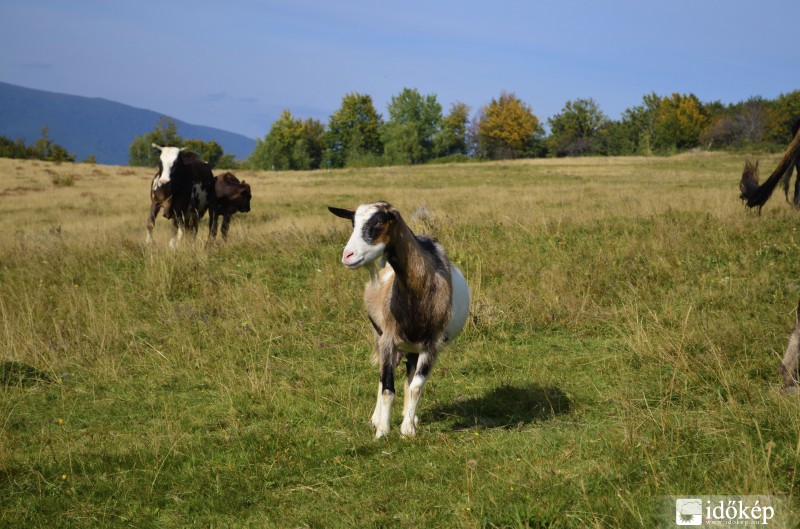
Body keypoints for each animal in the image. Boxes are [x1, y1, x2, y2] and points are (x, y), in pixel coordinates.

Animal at [330, 200, 472, 436]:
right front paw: (382, 431)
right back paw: (376, 419)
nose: (347, 256)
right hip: (381, 338)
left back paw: (410, 418)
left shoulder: (431, 345)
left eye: (378, 222)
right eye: (353, 223)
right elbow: (388, 387)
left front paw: (407, 429)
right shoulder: (388, 340)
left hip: (413, 349)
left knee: (409, 379)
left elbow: (416, 386)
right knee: (382, 377)